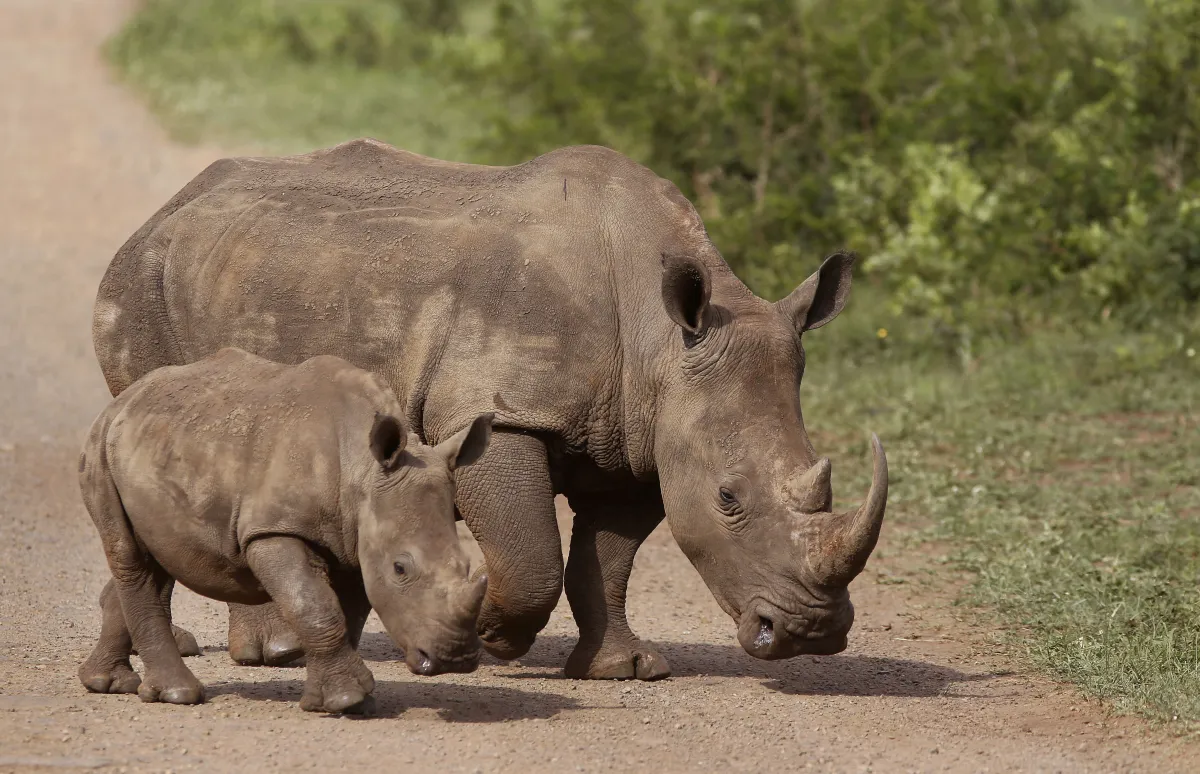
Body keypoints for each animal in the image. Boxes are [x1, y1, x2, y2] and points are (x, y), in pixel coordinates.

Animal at [77, 347, 493, 712]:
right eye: (400, 568)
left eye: (465, 566)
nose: (455, 659)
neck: (362, 469)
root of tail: (123, 400)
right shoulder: (274, 529)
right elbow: (313, 605)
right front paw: (346, 700)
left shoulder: (354, 538)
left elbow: (345, 615)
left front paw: (338, 700)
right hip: (100, 449)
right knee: (131, 556)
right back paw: (177, 695)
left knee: (159, 556)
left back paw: (105, 683)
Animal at [93, 140, 888, 680]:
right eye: (729, 498)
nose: (812, 635)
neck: (659, 342)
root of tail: (164, 210)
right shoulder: (499, 410)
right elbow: (532, 554)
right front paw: (497, 640)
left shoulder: (641, 440)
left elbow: (607, 560)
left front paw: (624, 669)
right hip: (142, 284)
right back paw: (276, 652)